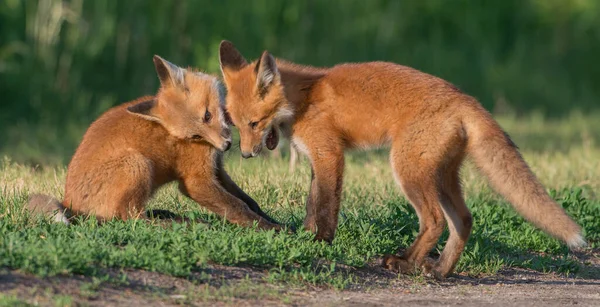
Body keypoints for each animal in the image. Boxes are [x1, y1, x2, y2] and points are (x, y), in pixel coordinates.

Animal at [27, 55, 280, 232]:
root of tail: (68, 202)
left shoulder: (217, 168)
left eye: (208, 115)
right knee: (131, 220)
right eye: (195, 136)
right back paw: (183, 224)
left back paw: (169, 215)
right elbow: (237, 206)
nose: (226, 146)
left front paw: (275, 221)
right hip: (137, 165)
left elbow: (249, 202)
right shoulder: (195, 181)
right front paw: (270, 229)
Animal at [217, 41, 584, 280]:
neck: (302, 98)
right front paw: (305, 237)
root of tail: (465, 98)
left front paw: (322, 242)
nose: (246, 154)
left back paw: (405, 265)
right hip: (441, 177)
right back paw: (439, 270)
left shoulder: (329, 154)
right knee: (464, 220)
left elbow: (326, 206)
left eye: (254, 123)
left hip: (407, 171)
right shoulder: (314, 161)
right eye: (236, 123)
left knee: (435, 221)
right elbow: (312, 204)